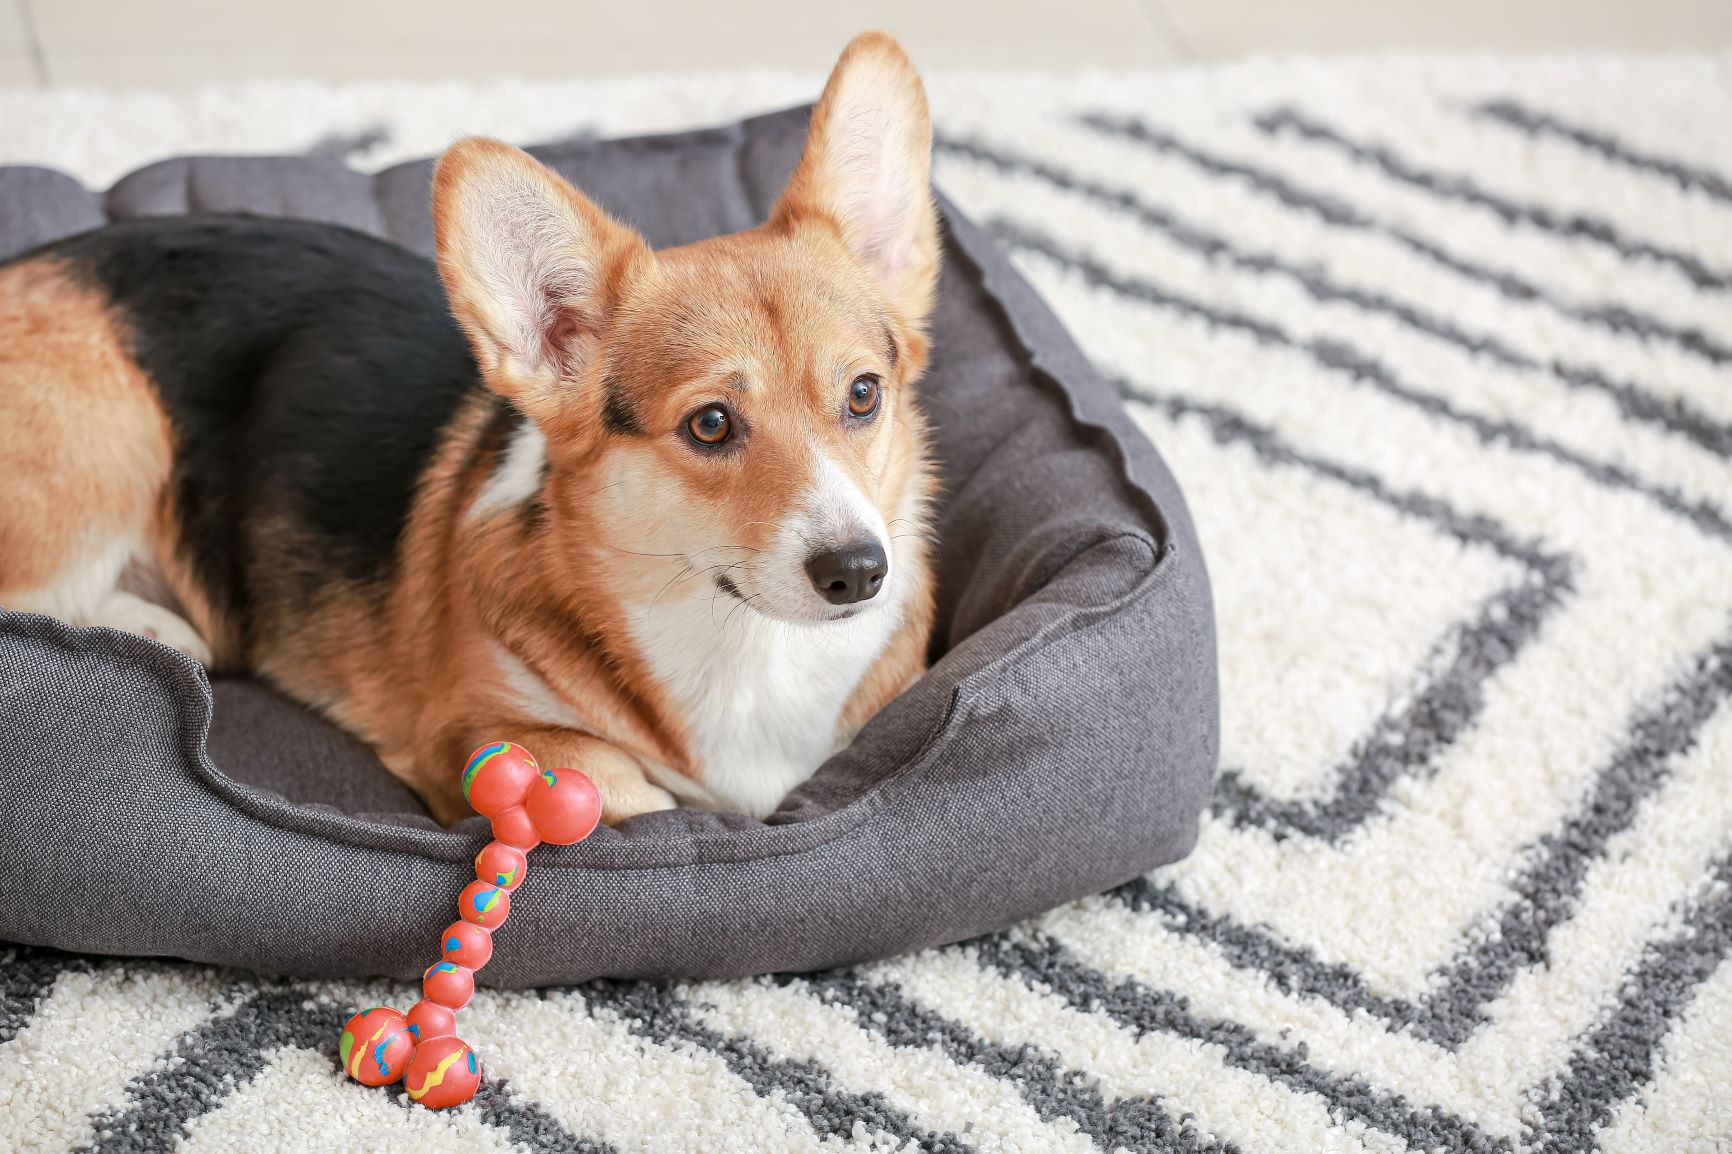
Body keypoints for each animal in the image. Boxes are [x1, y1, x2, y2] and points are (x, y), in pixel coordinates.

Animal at [0, 33, 935, 828]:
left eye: (863, 395)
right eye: (710, 424)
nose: (858, 572)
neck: (742, 642)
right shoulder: (468, 731)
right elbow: (618, 785)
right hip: (104, 455)